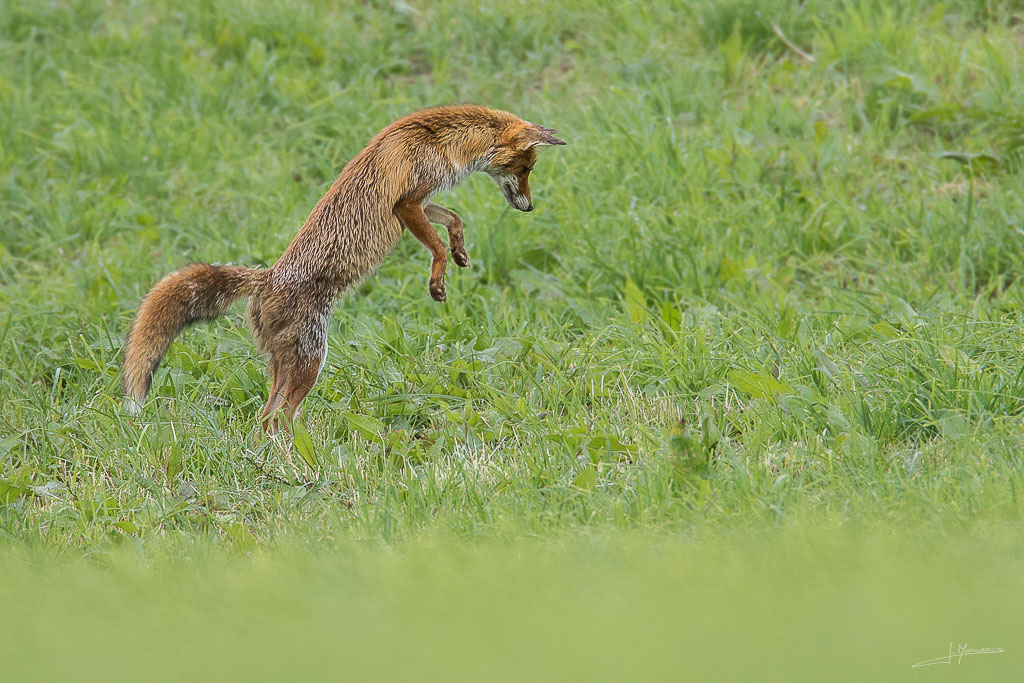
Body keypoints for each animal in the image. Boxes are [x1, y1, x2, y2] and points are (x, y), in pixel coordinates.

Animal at [125, 105, 569, 432]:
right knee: (276, 418)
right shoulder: (406, 202)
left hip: (283, 364)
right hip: (310, 360)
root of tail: (265, 279)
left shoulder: (421, 203)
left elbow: (453, 219)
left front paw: (461, 253)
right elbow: (437, 246)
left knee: (264, 418)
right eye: (525, 170)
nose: (530, 207)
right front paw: (438, 281)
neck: (442, 139)